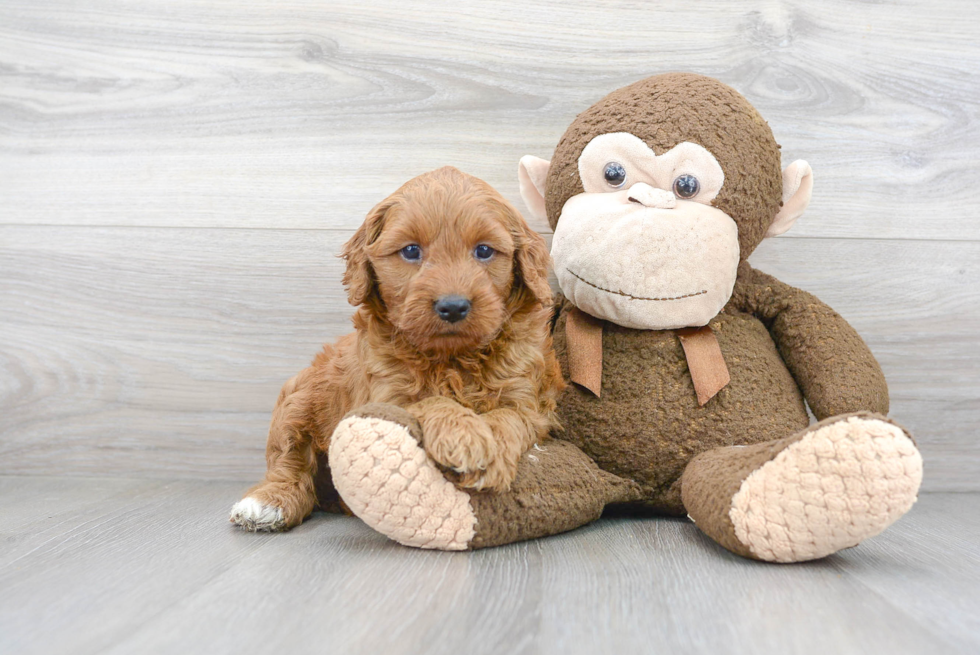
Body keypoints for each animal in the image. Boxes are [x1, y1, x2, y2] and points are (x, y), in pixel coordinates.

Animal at [230, 165, 564, 532]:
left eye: (484, 251)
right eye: (411, 251)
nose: (453, 306)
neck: (452, 359)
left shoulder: (528, 397)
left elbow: (508, 417)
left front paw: (484, 451)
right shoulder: (386, 394)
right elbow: (430, 401)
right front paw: (462, 433)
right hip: (298, 398)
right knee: (287, 458)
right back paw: (266, 504)